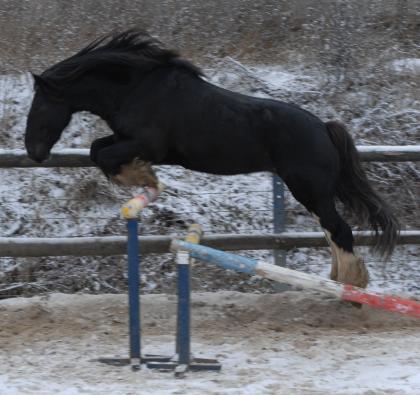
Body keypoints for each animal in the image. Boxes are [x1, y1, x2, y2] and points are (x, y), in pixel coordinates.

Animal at [24, 29, 398, 290]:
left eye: (40, 105)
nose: (33, 151)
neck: (135, 88)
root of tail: (324, 128)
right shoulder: (126, 140)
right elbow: (96, 149)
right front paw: (141, 179)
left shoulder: (148, 145)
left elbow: (105, 155)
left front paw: (143, 177)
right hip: (311, 192)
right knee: (330, 231)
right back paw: (337, 280)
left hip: (309, 190)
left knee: (339, 230)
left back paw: (351, 287)